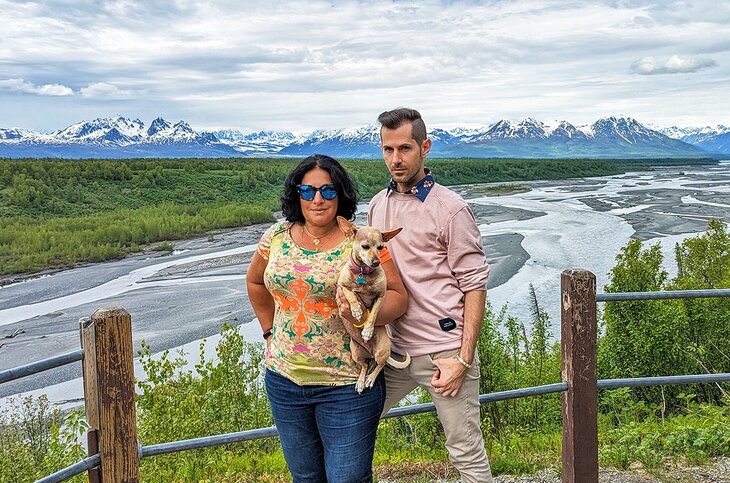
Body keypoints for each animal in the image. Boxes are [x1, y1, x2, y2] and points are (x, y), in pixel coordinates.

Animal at [336, 217, 410, 396]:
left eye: (381, 247)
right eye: (365, 246)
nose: (377, 262)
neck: (364, 273)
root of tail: (369, 352)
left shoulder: (380, 297)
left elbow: (374, 312)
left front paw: (368, 330)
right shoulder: (342, 287)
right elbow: (351, 294)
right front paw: (356, 310)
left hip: (382, 350)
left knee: (379, 364)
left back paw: (369, 379)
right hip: (355, 352)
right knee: (364, 365)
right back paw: (361, 381)